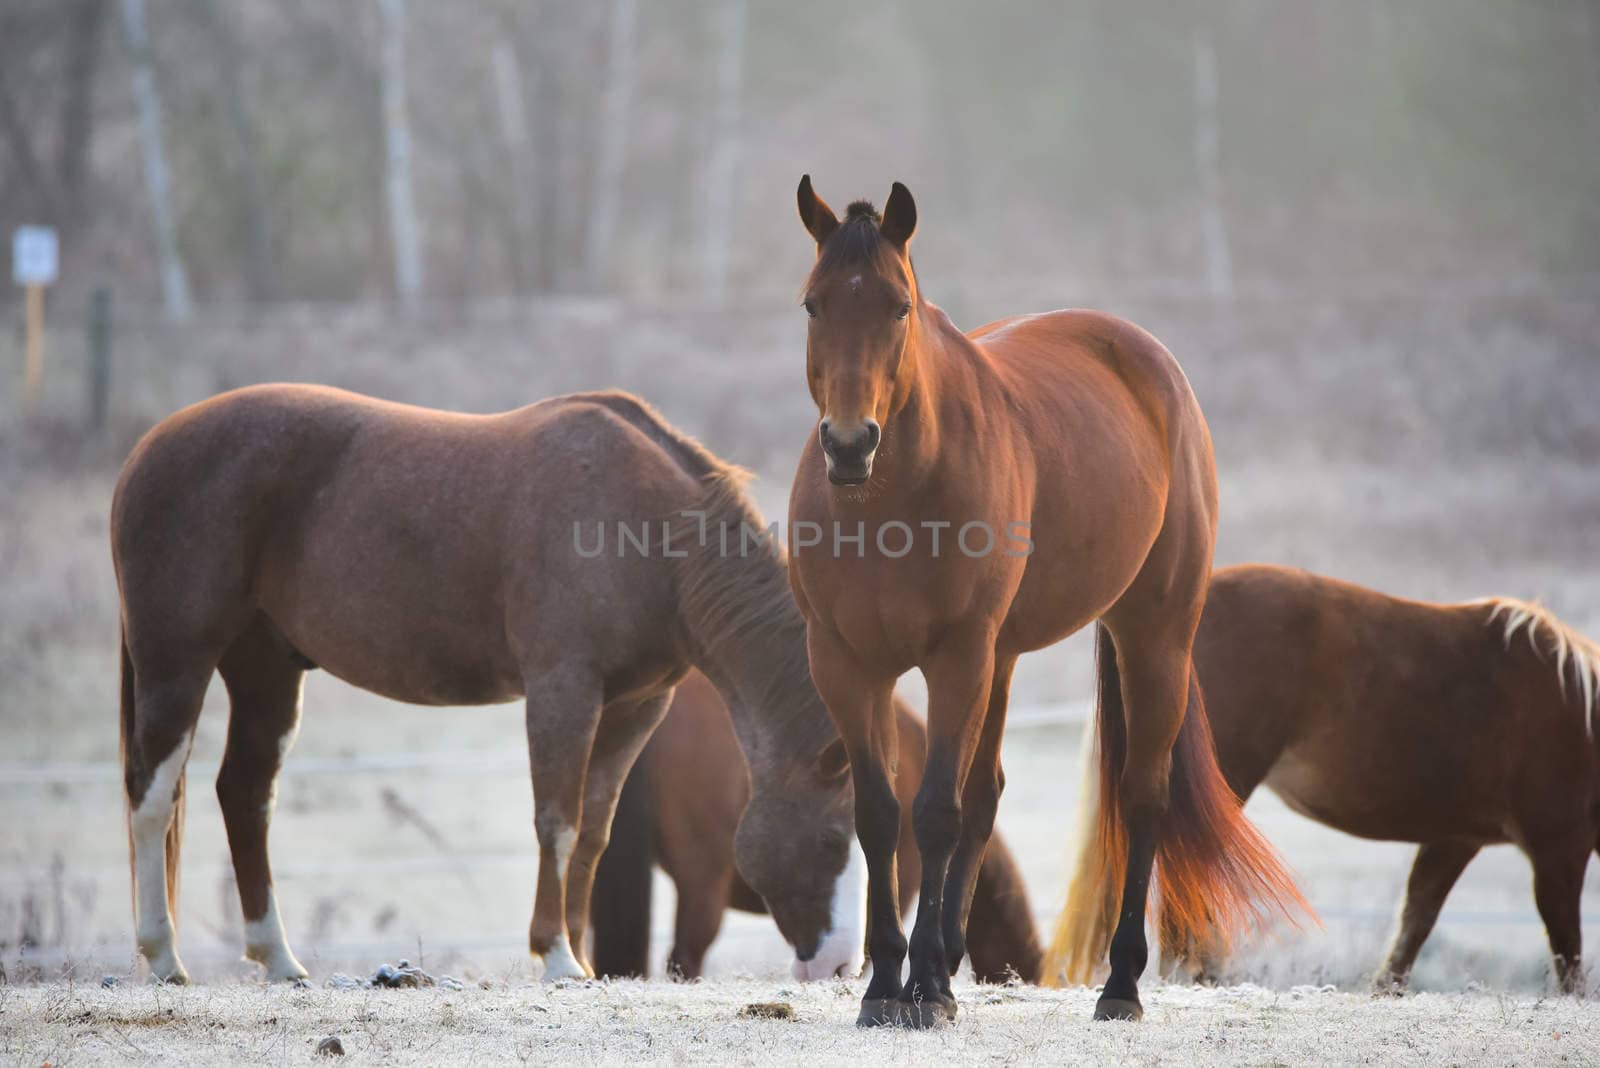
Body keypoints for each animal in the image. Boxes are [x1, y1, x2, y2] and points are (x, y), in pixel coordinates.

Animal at [109, 382, 864, 984]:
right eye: (834, 839)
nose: (840, 967)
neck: (649, 531)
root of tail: (146, 450)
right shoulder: (563, 690)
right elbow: (557, 822)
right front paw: (556, 956)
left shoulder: (636, 706)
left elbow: (592, 832)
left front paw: (580, 958)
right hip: (176, 660)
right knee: (152, 796)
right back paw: (163, 957)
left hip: (264, 670)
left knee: (244, 795)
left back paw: (278, 960)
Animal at [780, 177, 1305, 1023]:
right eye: (813, 303)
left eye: (898, 305)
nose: (850, 444)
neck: (886, 502)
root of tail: (1151, 362)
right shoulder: (847, 665)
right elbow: (880, 815)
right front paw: (888, 987)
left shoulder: (956, 658)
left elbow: (933, 810)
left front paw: (921, 993)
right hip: (1003, 659)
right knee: (987, 794)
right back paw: (947, 966)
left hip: (1151, 636)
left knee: (1142, 793)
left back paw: (1119, 986)